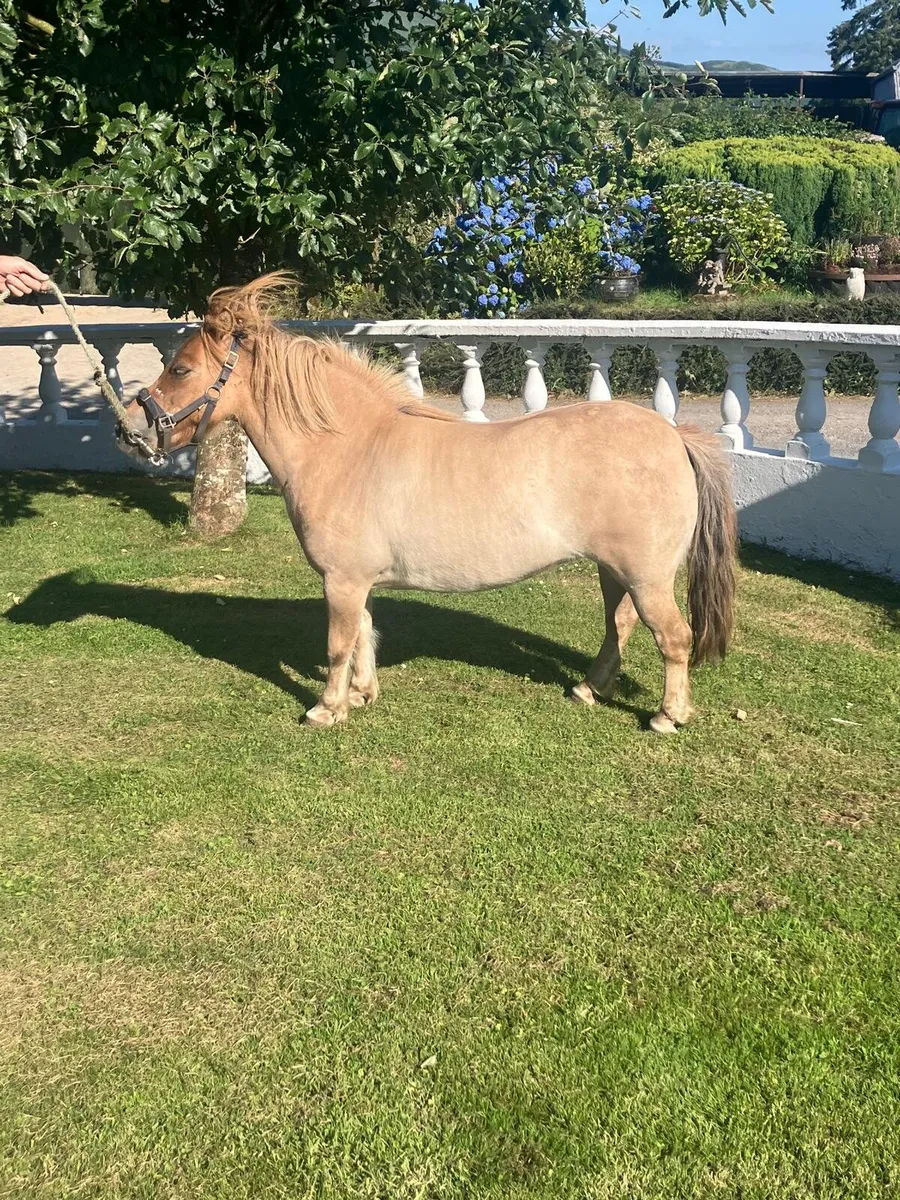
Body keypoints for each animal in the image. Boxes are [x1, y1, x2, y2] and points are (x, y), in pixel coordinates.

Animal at [119, 273, 737, 734]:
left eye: (181, 368)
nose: (132, 431)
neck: (348, 447)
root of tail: (673, 436)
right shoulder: (356, 581)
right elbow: (364, 635)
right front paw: (361, 695)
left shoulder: (341, 580)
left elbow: (339, 643)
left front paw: (326, 709)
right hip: (616, 571)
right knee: (620, 626)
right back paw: (587, 688)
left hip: (646, 576)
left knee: (673, 638)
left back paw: (667, 716)